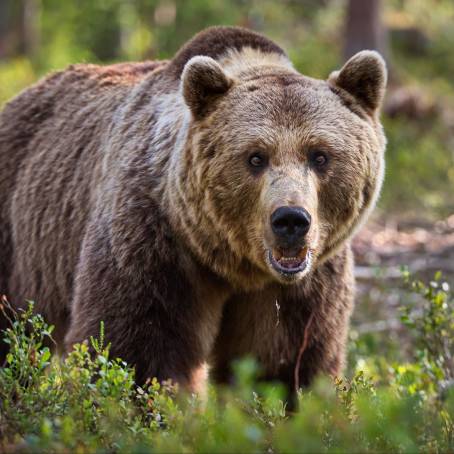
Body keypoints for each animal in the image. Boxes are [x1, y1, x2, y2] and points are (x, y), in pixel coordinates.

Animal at [0, 26, 386, 394]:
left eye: (320, 155)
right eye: (255, 157)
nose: (291, 219)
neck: (236, 265)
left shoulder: (303, 285)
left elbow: (286, 363)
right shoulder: (155, 244)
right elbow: (136, 351)